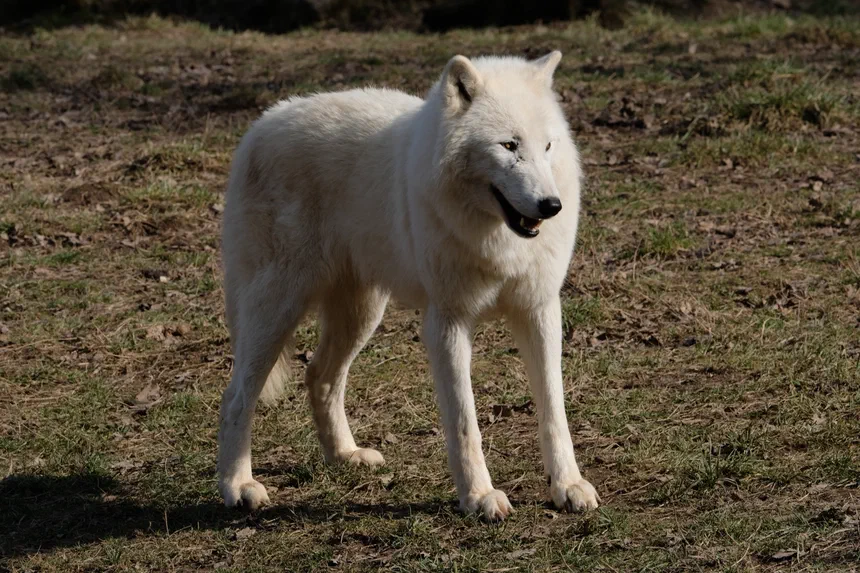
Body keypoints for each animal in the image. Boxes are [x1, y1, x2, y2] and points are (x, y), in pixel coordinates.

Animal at [218, 51, 600, 520]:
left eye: (547, 146)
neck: (495, 237)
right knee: (236, 397)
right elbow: (464, 422)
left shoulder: (540, 310)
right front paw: (479, 496)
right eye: (509, 146)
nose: (551, 206)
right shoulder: (447, 322)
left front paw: (568, 485)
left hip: (361, 314)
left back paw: (345, 456)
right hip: (278, 310)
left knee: (319, 376)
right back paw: (238, 486)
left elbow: (554, 410)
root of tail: (259, 126)